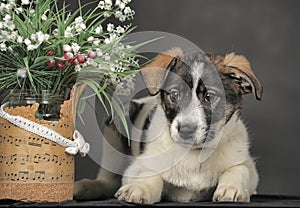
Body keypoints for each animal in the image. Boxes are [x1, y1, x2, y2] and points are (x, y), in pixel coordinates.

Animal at [73, 48, 262, 204]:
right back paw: (86, 187)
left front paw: (232, 188)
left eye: (209, 96)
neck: (193, 154)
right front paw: (140, 188)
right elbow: (151, 175)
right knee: (108, 180)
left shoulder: (247, 166)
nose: (186, 130)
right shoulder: (135, 168)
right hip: (114, 134)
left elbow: (239, 170)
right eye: (175, 94)